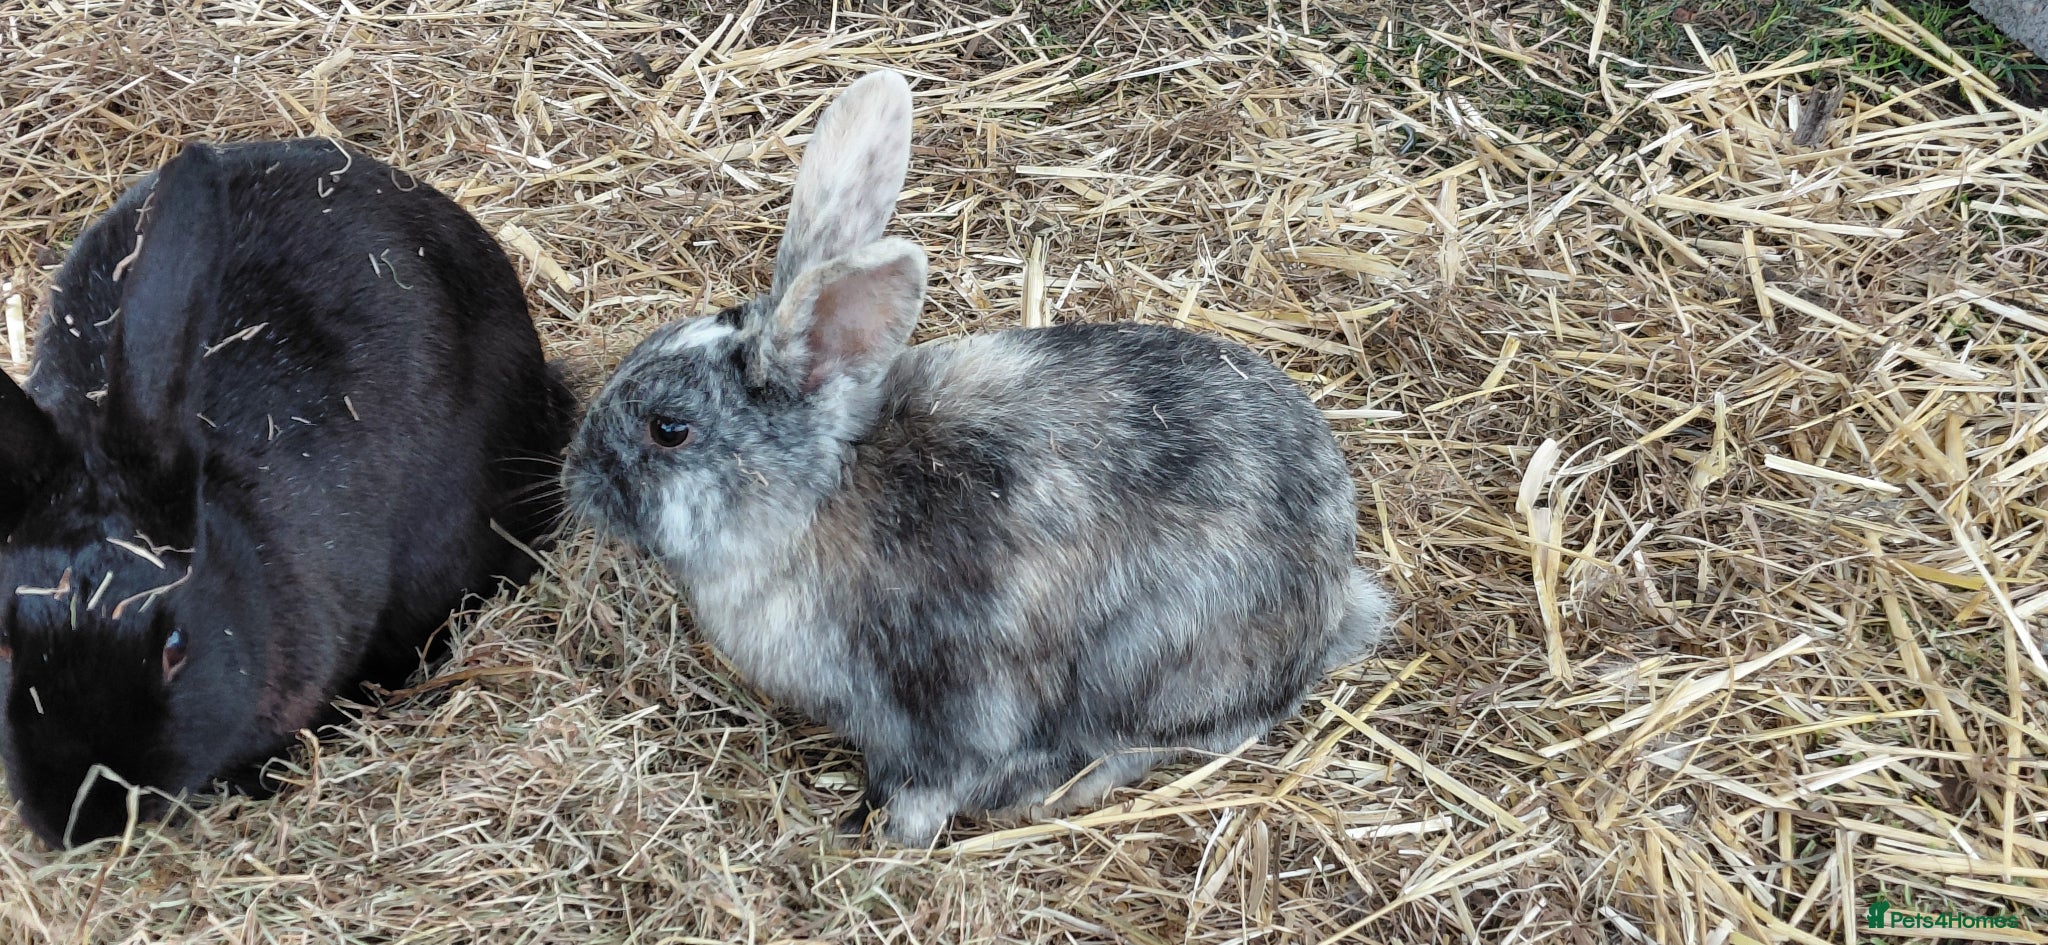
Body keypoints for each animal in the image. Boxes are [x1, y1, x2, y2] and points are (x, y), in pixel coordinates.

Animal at [562, 71, 1392, 846]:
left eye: (670, 429)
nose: (574, 475)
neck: (812, 503)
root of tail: (1334, 592)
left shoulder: (949, 699)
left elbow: (931, 778)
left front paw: (881, 832)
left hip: (1154, 659)